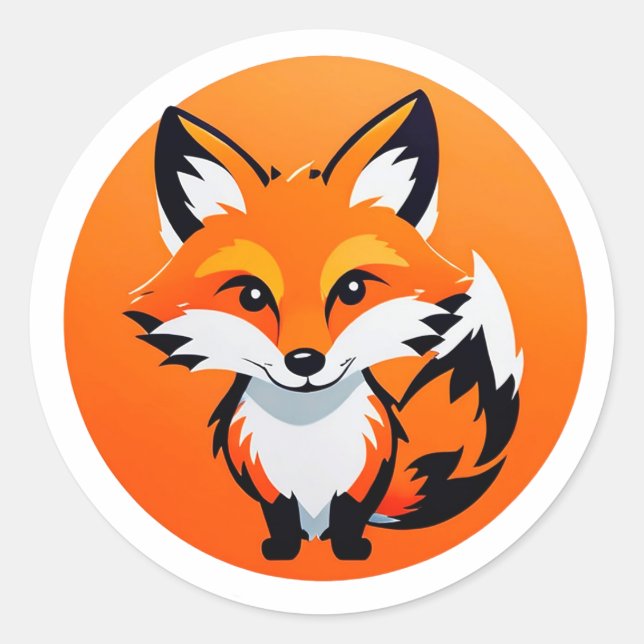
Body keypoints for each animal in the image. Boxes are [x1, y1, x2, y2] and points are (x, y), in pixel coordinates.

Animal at [124, 90, 523, 560]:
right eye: (252, 296)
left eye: (352, 289)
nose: (304, 361)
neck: (308, 435)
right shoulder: (266, 481)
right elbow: (280, 519)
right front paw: (282, 551)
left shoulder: (363, 474)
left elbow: (350, 517)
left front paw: (349, 551)